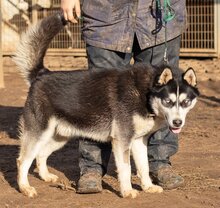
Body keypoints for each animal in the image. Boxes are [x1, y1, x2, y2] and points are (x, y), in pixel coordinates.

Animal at [13, 13, 199, 198]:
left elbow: (144, 167)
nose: (177, 123)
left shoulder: (138, 141)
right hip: (39, 134)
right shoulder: (122, 141)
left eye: (185, 102)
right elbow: (125, 169)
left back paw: (45, 176)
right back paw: (25, 188)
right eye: (168, 101)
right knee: (23, 160)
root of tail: (41, 74)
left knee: (41, 155)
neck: (145, 93)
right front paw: (127, 191)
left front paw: (148, 187)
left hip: (59, 137)